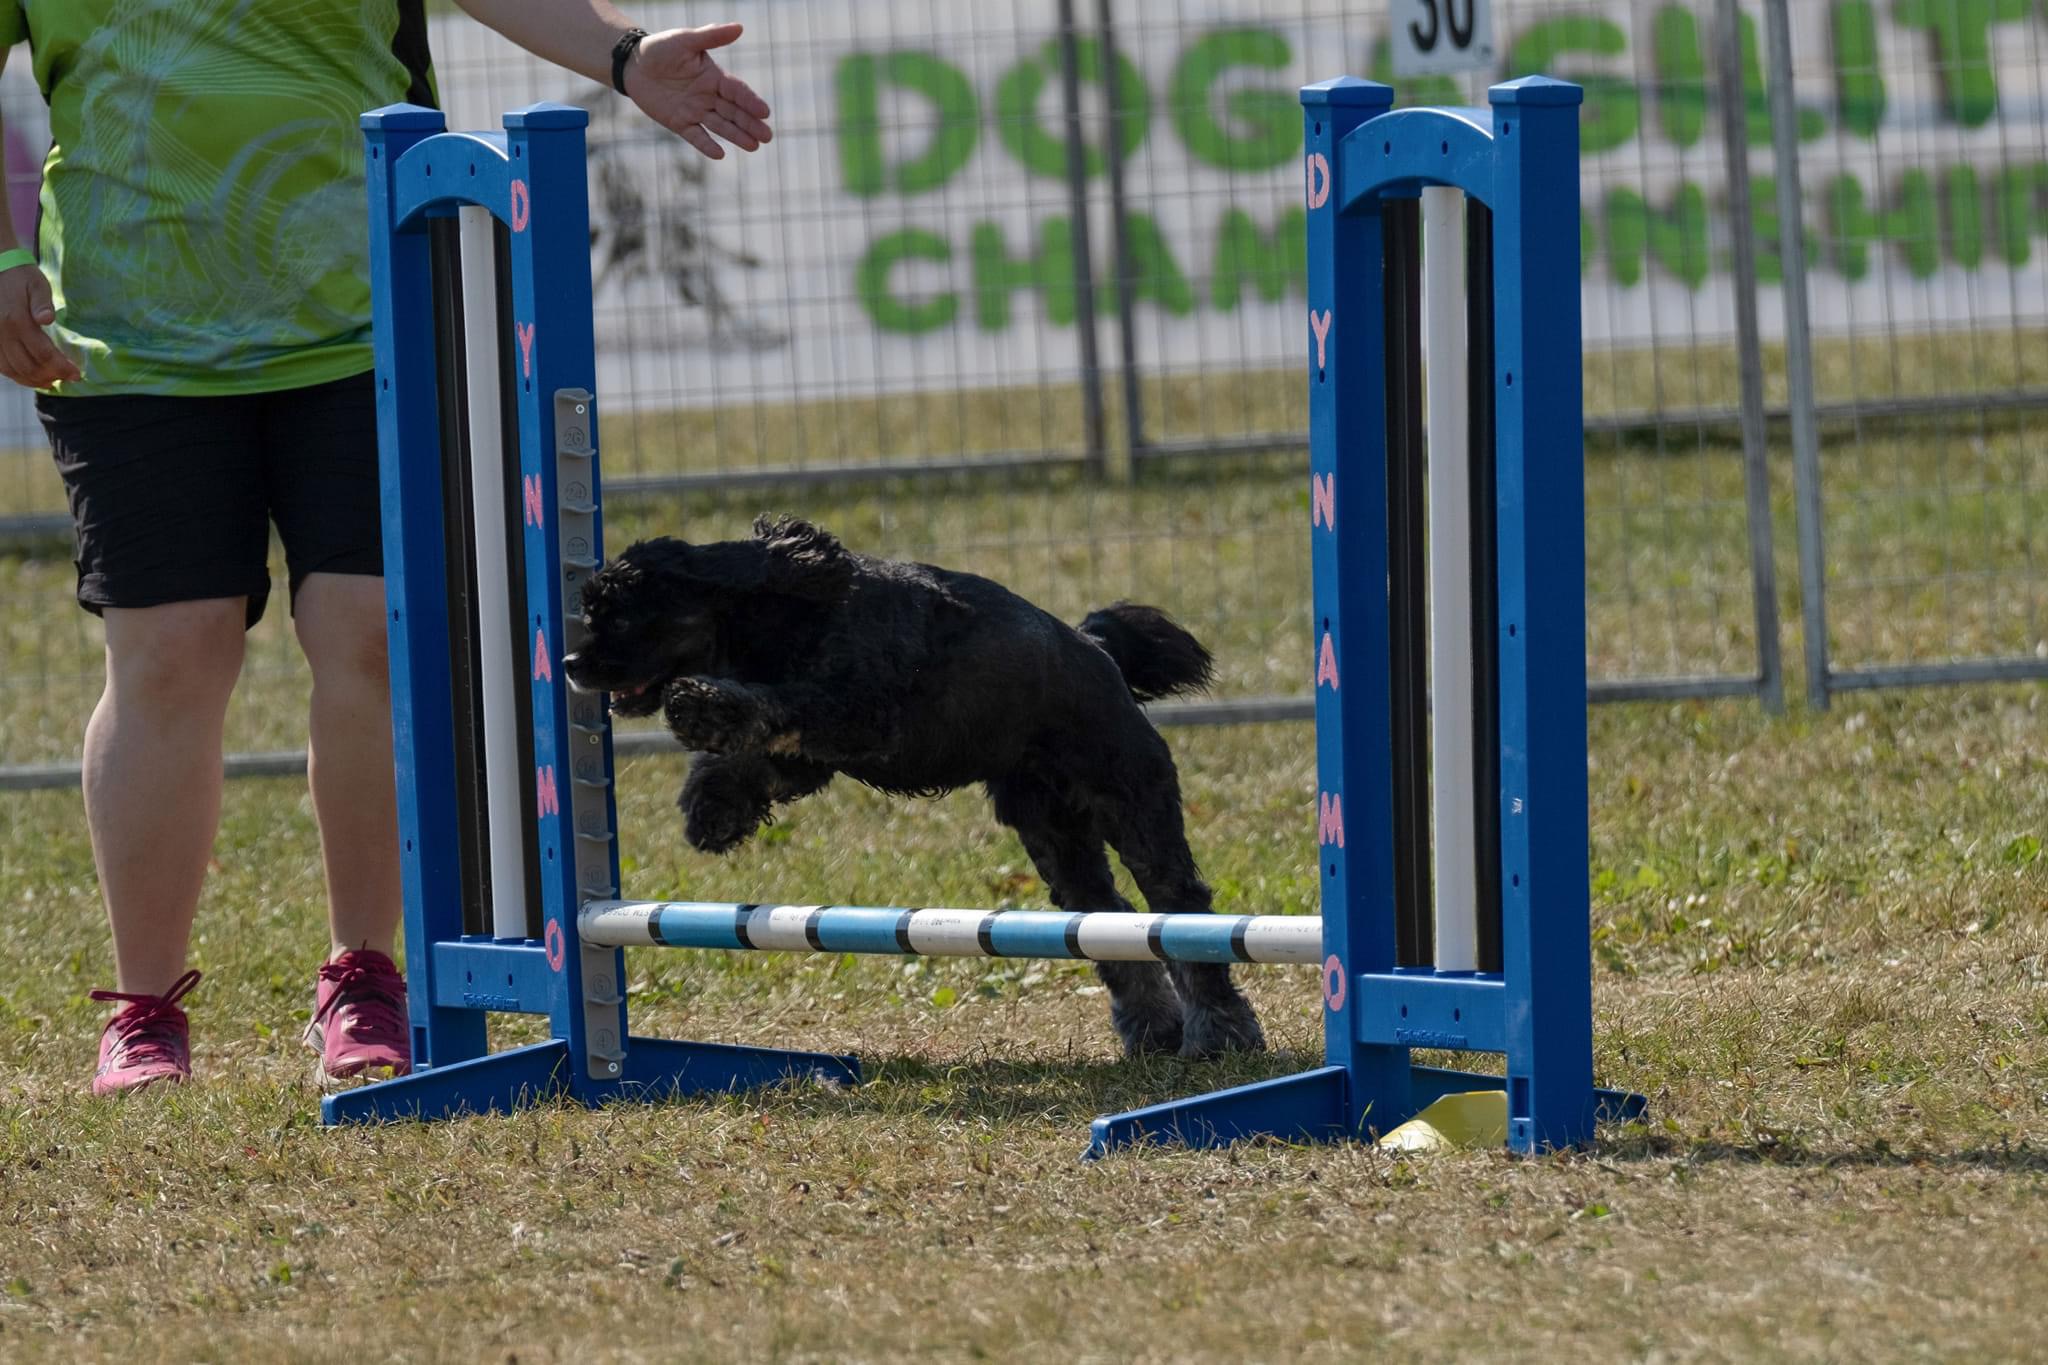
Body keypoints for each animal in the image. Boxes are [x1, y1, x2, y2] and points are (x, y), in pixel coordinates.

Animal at [561, 515, 1266, 1060]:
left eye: (618, 615)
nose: (568, 662)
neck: (784, 611)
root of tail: (1098, 651)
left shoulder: (859, 710)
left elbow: (774, 705)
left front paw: (702, 706)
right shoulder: (812, 751)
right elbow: (756, 751)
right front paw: (711, 807)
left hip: (1131, 800)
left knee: (1181, 910)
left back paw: (1219, 1033)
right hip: (1055, 837)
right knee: (1110, 921)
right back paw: (1153, 1029)